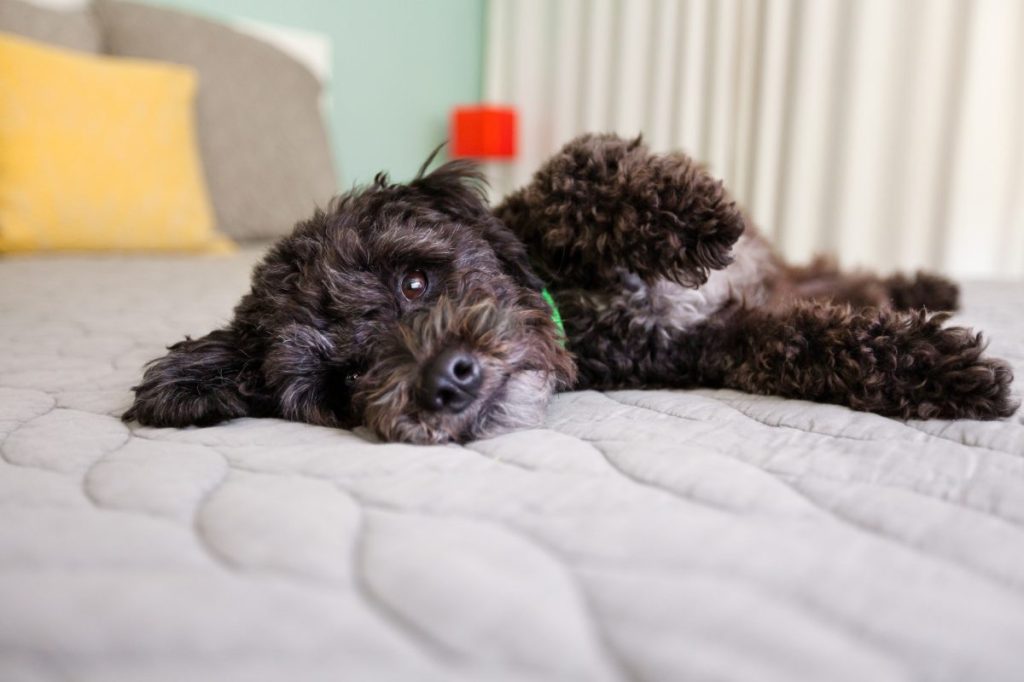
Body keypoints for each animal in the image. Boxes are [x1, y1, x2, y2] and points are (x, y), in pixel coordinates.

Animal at [121, 134, 1015, 440]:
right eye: (343, 382)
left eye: (415, 279)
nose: (448, 381)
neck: (574, 309)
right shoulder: (712, 344)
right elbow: (807, 345)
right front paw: (945, 372)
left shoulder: (541, 211)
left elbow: (578, 171)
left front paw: (694, 216)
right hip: (783, 294)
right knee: (835, 296)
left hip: (788, 272)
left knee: (848, 276)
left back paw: (931, 283)